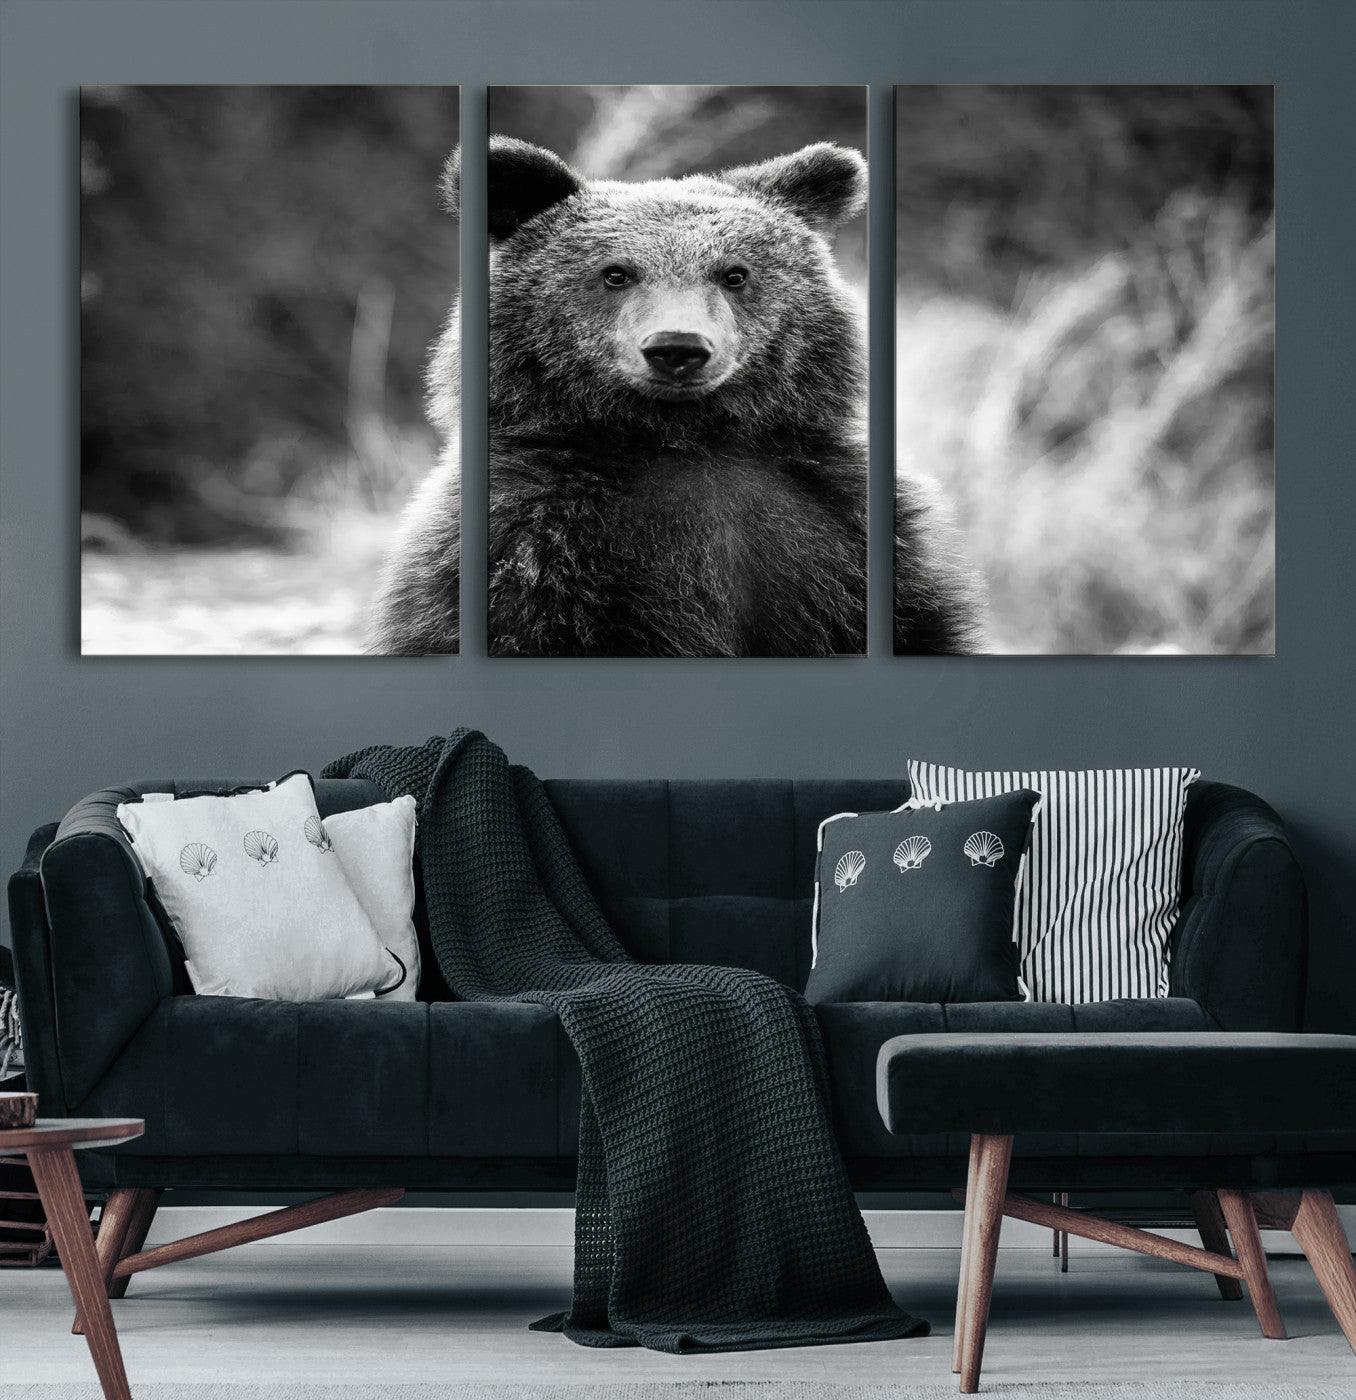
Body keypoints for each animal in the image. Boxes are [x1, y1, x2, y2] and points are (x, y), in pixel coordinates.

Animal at [369, 136, 980, 656]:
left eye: (734, 273)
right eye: (616, 273)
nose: (678, 348)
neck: (685, 440)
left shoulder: (843, 530)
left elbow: (919, 624)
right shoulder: (529, 544)